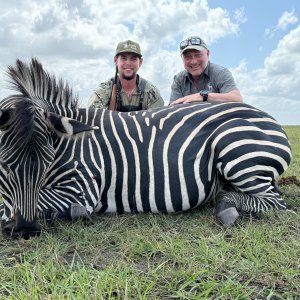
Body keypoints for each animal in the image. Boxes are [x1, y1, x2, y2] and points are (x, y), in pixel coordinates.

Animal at [0, 57, 290, 238]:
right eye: (5, 164)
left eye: (46, 162)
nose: (26, 230)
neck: (68, 145)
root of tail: (266, 115)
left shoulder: (82, 187)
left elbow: (14, 204)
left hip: (234, 149)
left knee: (275, 203)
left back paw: (226, 207)